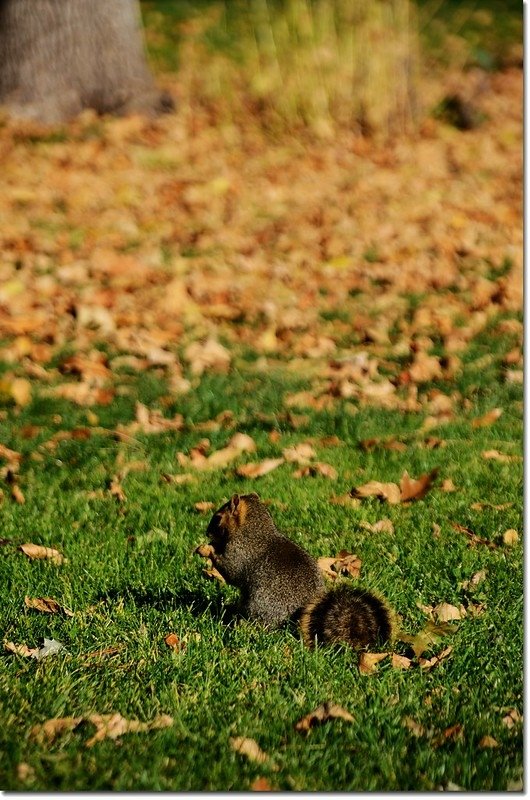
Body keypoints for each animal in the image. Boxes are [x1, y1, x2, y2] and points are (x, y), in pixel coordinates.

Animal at [195, 488, 392, 648]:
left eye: (218, 518)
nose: (207, 532)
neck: (253, 530)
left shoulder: (241, 553)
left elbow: (231, 572)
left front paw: (207, 549)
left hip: (260, 605)